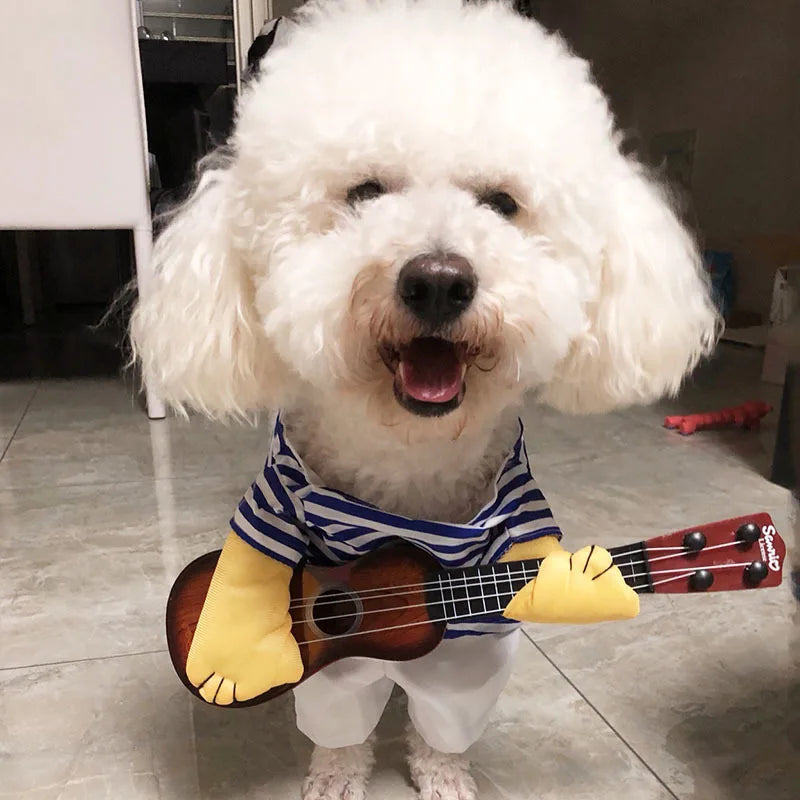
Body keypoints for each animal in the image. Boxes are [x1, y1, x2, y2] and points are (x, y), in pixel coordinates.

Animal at [133, 3, 720, 796]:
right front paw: (331, 770)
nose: (439, 281)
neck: (408, 461)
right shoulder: (282, 517)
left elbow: (448, 715)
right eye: (364, 193)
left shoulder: (480, 618)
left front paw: (443, 775)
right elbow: (328, 702)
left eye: (502, 204)